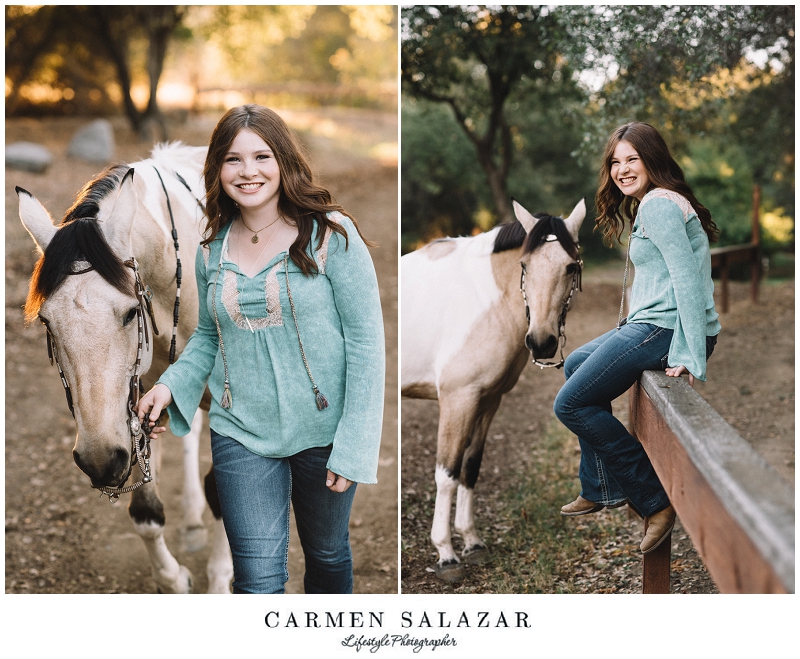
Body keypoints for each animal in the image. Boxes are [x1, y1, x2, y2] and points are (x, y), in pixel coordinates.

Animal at [17, 143, 233, 592]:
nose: (99, 461)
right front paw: (173, 578)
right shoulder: (135, 406)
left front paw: (221, 578)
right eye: (46, 322)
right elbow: (146, 514)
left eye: (132, 312)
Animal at [404, 199, 584, 580]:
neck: (481, 297)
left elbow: (470, 467)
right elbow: (447, 473)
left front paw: (472, 542)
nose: (541, 342)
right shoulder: (457, 399)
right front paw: (446, 553)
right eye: (524, 265)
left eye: (570, 266)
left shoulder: (487, 399)